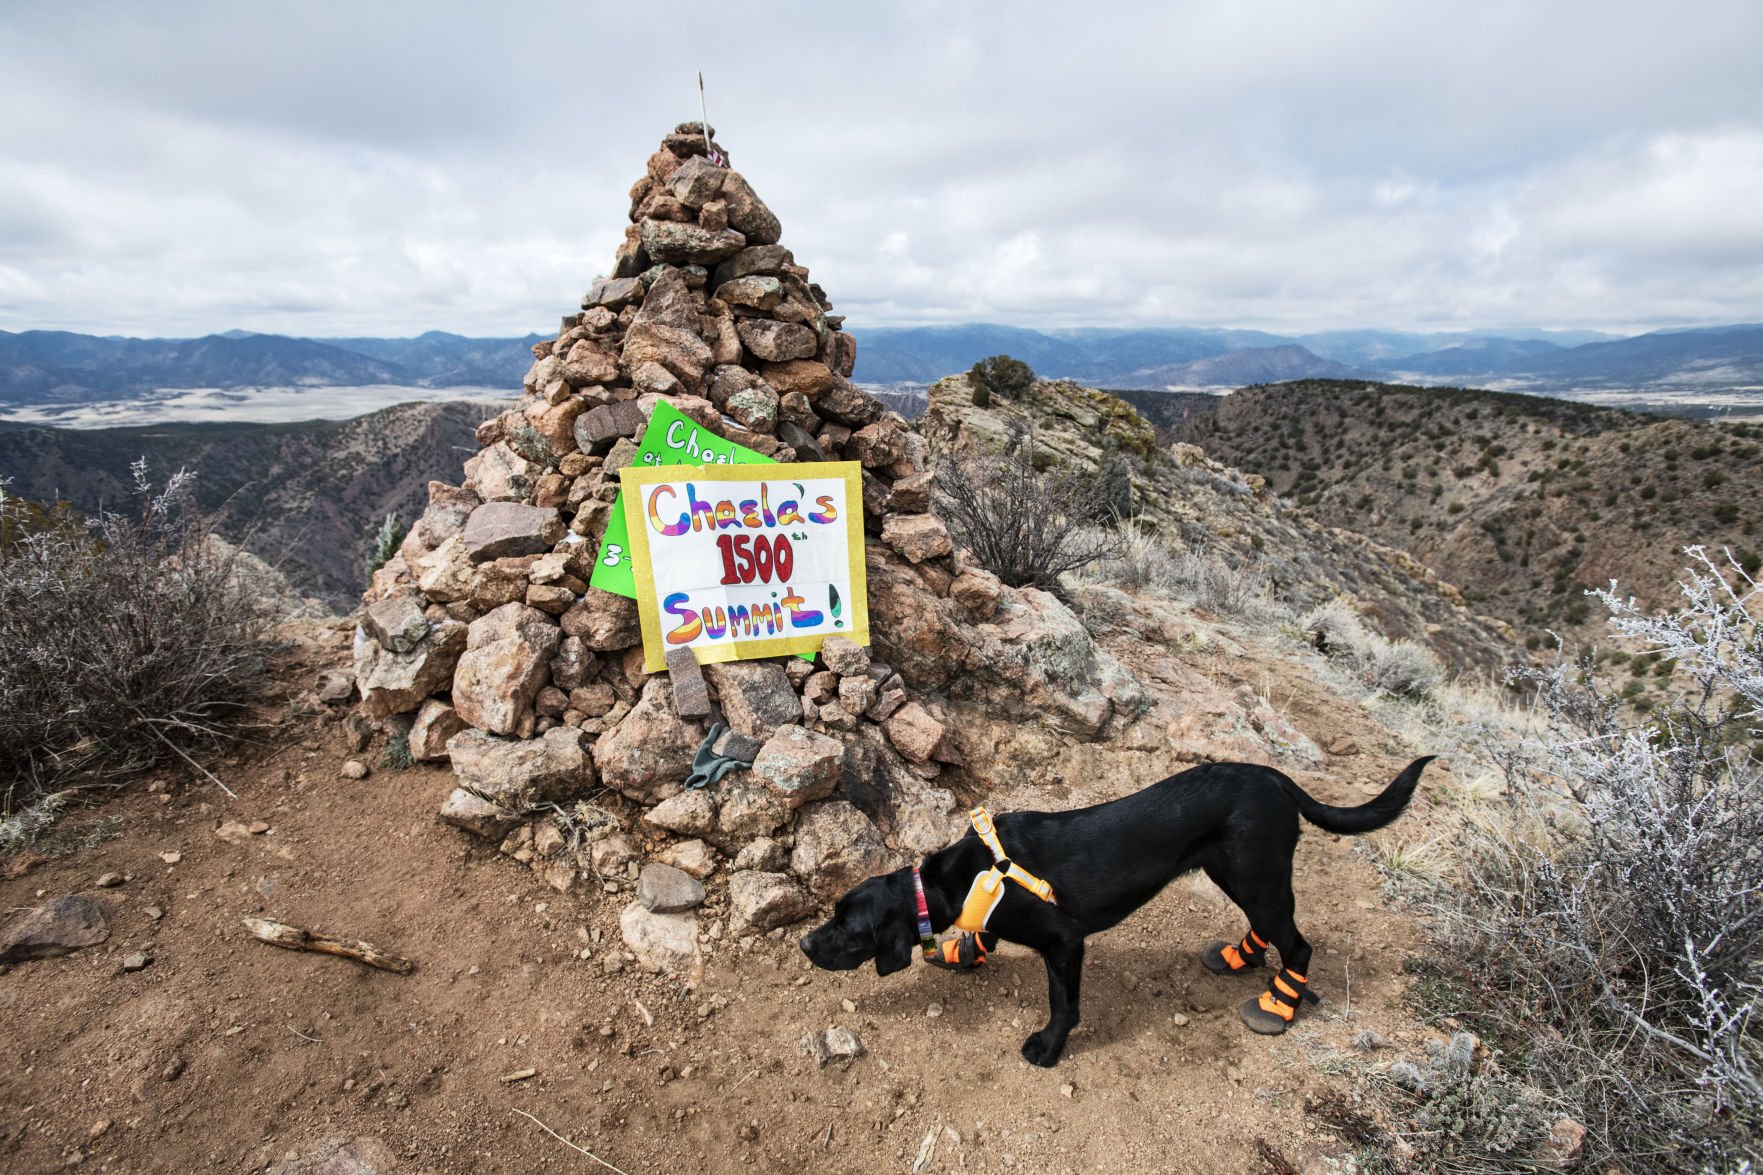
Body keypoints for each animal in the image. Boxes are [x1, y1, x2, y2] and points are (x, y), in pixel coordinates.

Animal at [800, 755, 1431, 1065]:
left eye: (846, 928)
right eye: (833, 914)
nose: (805, 943)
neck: (961, 877)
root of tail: (1278, 779)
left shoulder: (1065, 942)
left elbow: (1063, 1004)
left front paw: (1049, 1048)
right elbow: (983, 936)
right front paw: (965, 950)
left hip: (1255, 874)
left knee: (1298, 943)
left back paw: (1279, 1003)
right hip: (1239, 875)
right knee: (1268, 929)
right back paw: (1239, 957)